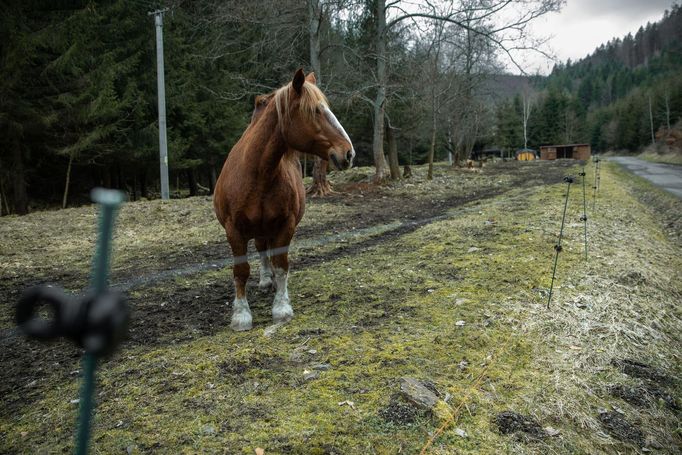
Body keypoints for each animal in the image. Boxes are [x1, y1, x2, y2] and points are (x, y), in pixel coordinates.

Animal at [212, 68, 354, 332]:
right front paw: (241, 315)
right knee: (260, 249)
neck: (258, 173)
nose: (348, 153)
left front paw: (281, 308)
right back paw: (265, 281)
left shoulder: (285, 225)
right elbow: (241, 270)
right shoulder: (233, 230)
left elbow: (281, 264)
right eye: (315, 110)